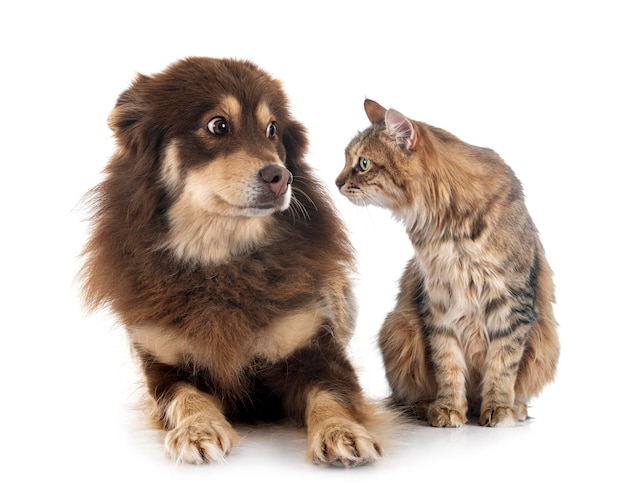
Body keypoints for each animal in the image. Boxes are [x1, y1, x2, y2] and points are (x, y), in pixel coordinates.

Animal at [80, 57, 382, 468]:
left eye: (273, 130)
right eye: (218, 125)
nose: (281, 177)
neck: (222, 263)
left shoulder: (315, 350)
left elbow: (331, 396)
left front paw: (342, 432)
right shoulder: (165, 365)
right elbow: (186, 398)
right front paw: (197, 430)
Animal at [334, 100, 560, 428]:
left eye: (363, 163)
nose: (337, 182)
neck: (447, 229)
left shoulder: (512, 304)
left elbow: (503, 365)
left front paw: (499, 408)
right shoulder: (439, 305)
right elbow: (447, 364)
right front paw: (449, 408)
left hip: (547, 342)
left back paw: (513, 408)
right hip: (399, 328)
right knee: (407, 396)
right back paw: (427, 407)